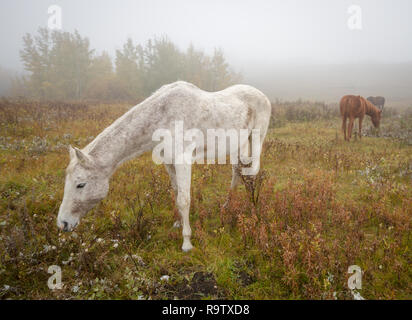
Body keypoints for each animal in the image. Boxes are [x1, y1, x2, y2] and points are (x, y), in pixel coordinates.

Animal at [57, 81, 270, 251]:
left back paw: (253, 210)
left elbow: (184, 199)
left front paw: (187, 243)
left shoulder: (183, 161)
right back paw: (227, 206)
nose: (62, 223)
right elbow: (176, 194)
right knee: (238, 171)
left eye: (80, 184)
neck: (162, 116)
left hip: (256, 140)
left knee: (251, 173)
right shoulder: (169, 162)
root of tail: (263, 95)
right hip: (238, 145)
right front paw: (178, 223)